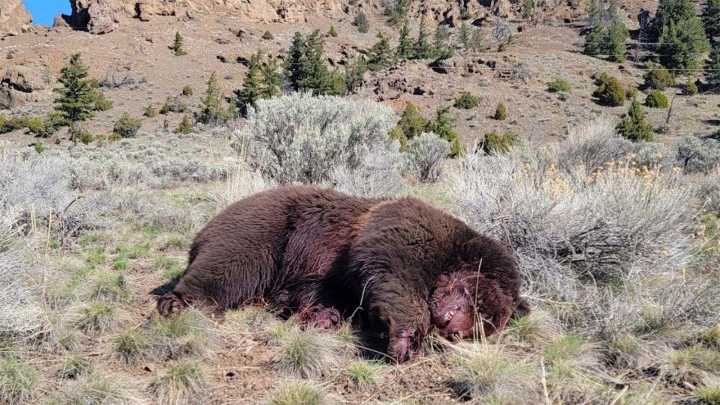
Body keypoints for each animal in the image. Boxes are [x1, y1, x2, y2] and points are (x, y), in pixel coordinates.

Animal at [154, 185, 525, 362]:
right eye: (472, 298)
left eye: (485, 324)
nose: (452, 327)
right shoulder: (401, 231)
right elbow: (394, 275)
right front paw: (405, 340)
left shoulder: (334, 278)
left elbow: (330, 294)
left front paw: (322, 317)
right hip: (267, 229)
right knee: (229, 264)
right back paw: (177, 303)